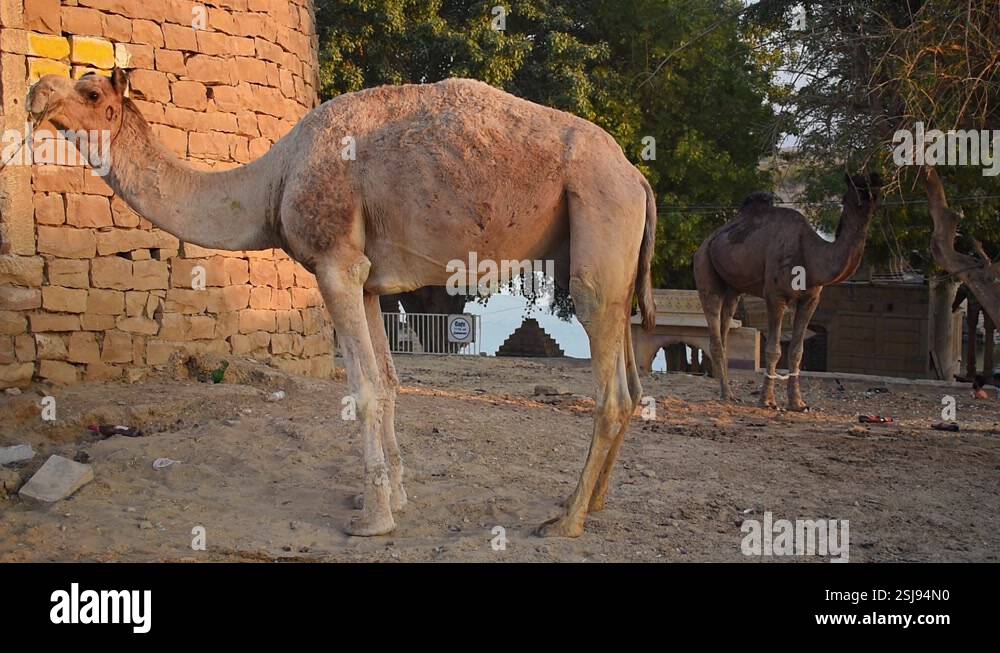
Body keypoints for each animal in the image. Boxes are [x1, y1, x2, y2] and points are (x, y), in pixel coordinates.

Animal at [27, 69, 657, 537]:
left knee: (610, 384)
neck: (274, 181)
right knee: (632, 383)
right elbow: (392, 382)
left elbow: (365, 388)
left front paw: (372, 520)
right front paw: (396, 498)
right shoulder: (371, 282)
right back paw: (594, 504)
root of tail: (636, 176)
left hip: (598, 216)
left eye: (90, 92)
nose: (36, 92)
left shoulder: (336, 264)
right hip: (613, 251)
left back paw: (566, 520)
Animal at [693, 173, 881, 410]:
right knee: (714, 328)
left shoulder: (811, 299)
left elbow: (797, 351)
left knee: (725, 329)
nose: (869, 202)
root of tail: (707, 241)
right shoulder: (775, 296)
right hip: (704, 267)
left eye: (876, 188)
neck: (810, 254)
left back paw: (729, 393)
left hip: (733, 289)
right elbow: (773, 350)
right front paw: (767, 400)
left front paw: (797, 403)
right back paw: (726, 395)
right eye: (855, 190)